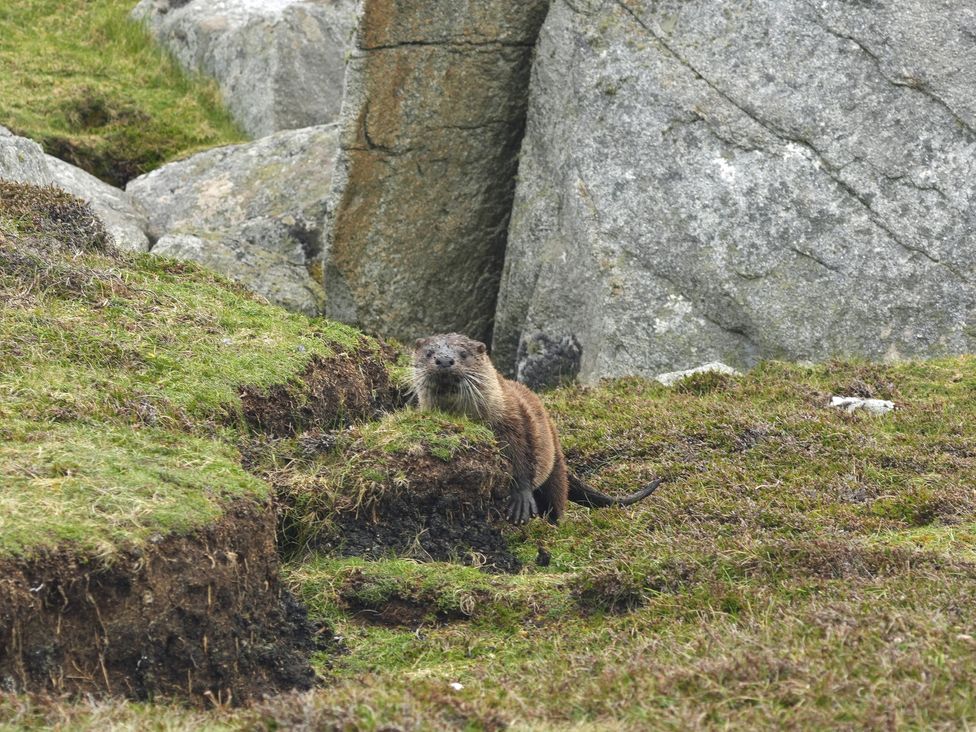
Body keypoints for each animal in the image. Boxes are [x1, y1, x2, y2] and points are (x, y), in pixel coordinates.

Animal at [412, 333, 661, 524]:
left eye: (463, 354)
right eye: (429, 353)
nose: (444, 360)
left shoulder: (515, 423)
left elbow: (522, 461)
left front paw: (520, 499)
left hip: (555, 466)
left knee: (556, 497)